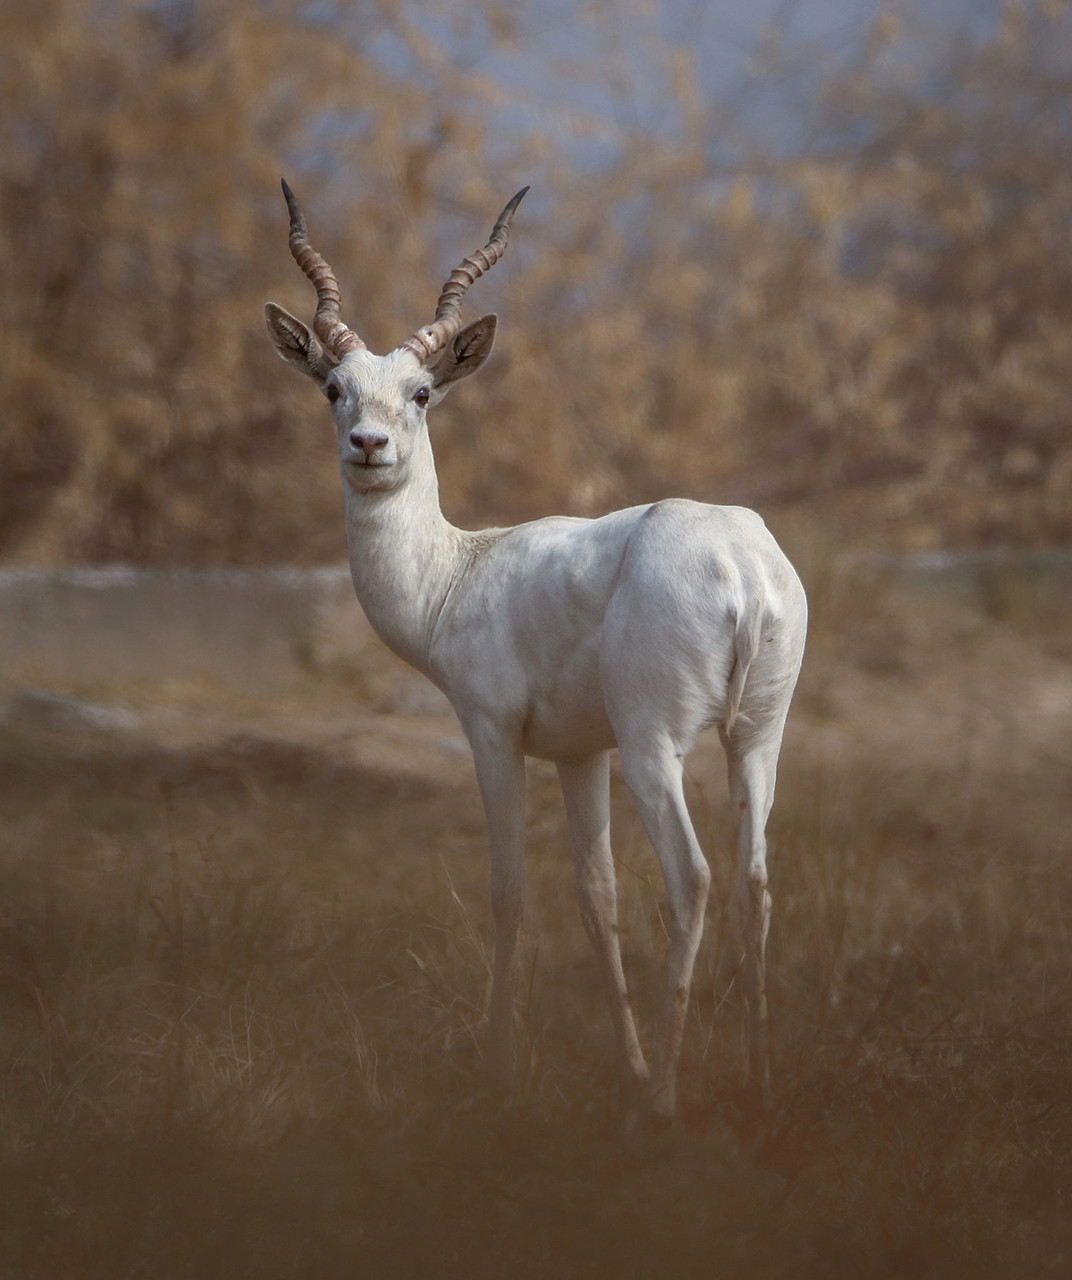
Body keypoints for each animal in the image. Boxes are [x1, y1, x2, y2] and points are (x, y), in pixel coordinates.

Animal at [265, 181, 807, 1119]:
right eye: (334, 386)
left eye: (421, 393)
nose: (368, 446)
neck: (458, 574)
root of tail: (741, 564)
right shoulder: (579, 753)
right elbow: (596, 898)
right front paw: (625, 1060)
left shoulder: (492, 733)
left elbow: (510, 891)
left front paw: (500, 1067)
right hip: (756, 739)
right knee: (755, 883)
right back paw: (760, 1077)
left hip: (656, 743)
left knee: (694, 878)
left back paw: (664, 1101)